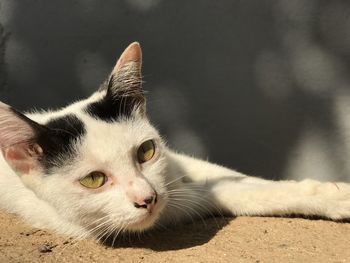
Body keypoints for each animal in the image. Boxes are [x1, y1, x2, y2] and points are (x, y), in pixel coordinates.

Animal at [0, 41, 348, 241]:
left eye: (146, 151)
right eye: (94, 179)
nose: (148, 198)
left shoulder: (177, 164)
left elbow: (236, 180)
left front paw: (327, 192)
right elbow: (225, 193)